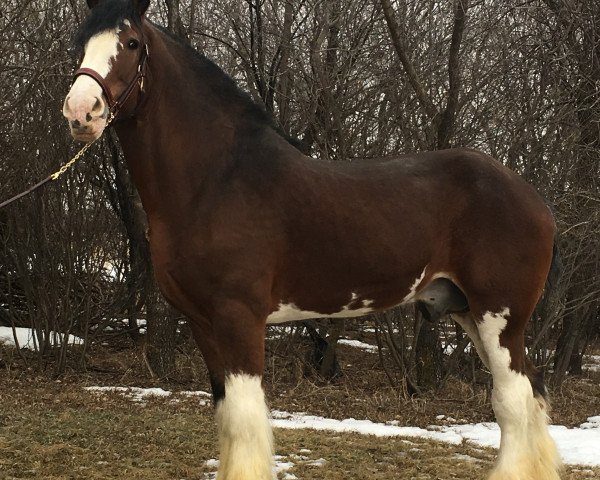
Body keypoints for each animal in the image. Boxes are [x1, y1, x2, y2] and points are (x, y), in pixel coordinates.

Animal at [62, 0, 564, 480]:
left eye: (130, 43)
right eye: (80, 42)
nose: (81, 112)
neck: (216, 180)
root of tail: (533, 198)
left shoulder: (239, 318)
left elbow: (245, 419)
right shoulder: (203, 323)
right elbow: (227, 417)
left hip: (498, 317)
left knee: (513, 400)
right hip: (468, 312)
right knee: (527, 394)